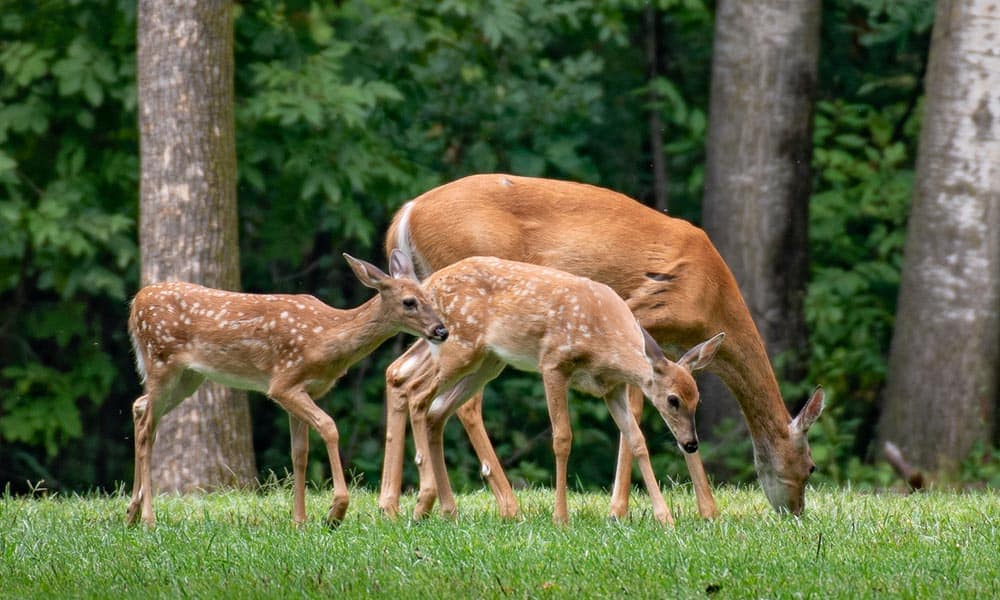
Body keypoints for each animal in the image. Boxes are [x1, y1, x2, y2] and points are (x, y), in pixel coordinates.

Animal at [127, 251, 448, 528]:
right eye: (409, 302)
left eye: (429, 297)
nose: (442, 331)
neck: (326, 337)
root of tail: (134, 304)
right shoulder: (283, 382)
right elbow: (329, 427)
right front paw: (336, 511)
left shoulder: (302, 390)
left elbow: (299, 453)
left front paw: (300, 521)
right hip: (161, 361)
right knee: (146, 428)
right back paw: (148, 519)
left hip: (188, 377)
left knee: (140, 407)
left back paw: (131, 512)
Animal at [386, 254, 724, 524]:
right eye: (673, 399)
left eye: (697, 399)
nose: (690, 443)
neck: (604, 342)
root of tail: (430, 282)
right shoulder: (553, 363)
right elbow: (562, 439)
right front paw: (560, 517)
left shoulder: (611, 388)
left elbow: (637, 440)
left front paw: (665, 518)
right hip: (459, 347)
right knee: (417, 392)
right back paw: (423, 503)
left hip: (486, 362)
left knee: (436, 410)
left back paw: (443, 510)